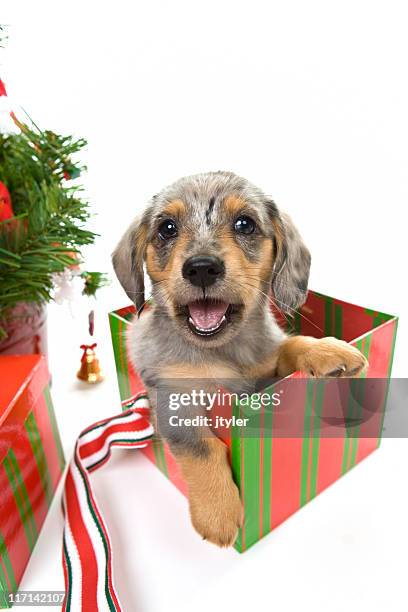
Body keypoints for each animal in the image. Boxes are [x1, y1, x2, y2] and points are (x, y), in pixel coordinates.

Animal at [111, 170, 366, 548]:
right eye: (167, 228)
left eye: (245, 224)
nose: (202, 268)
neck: (224, 352)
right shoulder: (173, 397)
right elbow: (203, 446)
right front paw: (218, 512)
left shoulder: (267, 369)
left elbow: (291, 346)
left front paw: (328, 350)